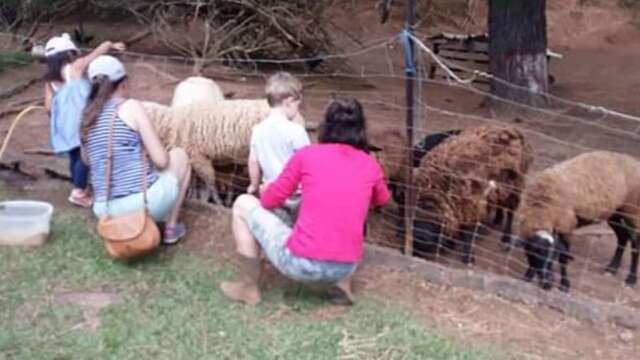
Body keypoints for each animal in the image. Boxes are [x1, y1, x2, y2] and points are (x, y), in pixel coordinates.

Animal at [516, 149, 640, 292]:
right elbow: (530, 258)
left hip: (633, 211)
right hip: (615, 213)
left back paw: (630, 280)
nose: (548, 284)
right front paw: (527, 277)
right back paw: (611, 269)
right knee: (623, 237)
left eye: (552, 258)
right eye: (537, 255)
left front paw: (564, 285)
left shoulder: (566, 226)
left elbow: (563, 257)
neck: (541, 210)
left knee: (635, 245)